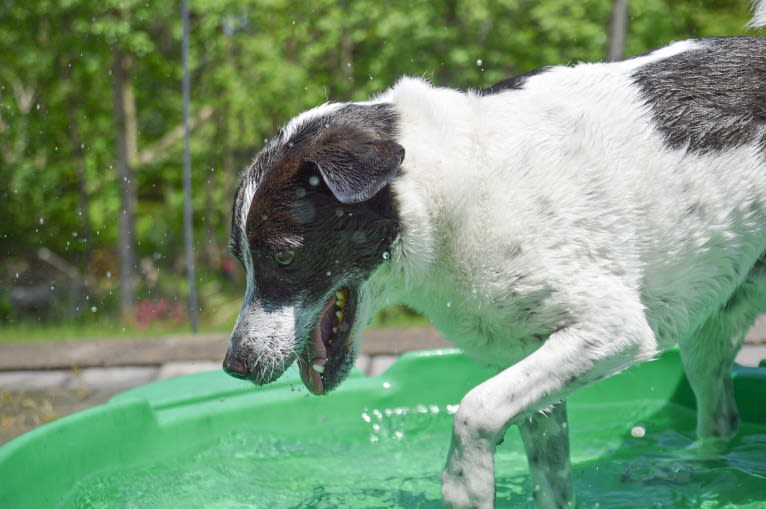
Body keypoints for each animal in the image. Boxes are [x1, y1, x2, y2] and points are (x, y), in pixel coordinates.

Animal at [225, 2, 764, 504]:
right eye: (240, 258)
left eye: (284, 258)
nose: (235, 365)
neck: (454, 188)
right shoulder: (536, 363)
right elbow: (547, 470)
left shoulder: (612, 328)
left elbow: (475, 407)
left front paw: (466, 479)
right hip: (710, 330)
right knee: (722, 416)